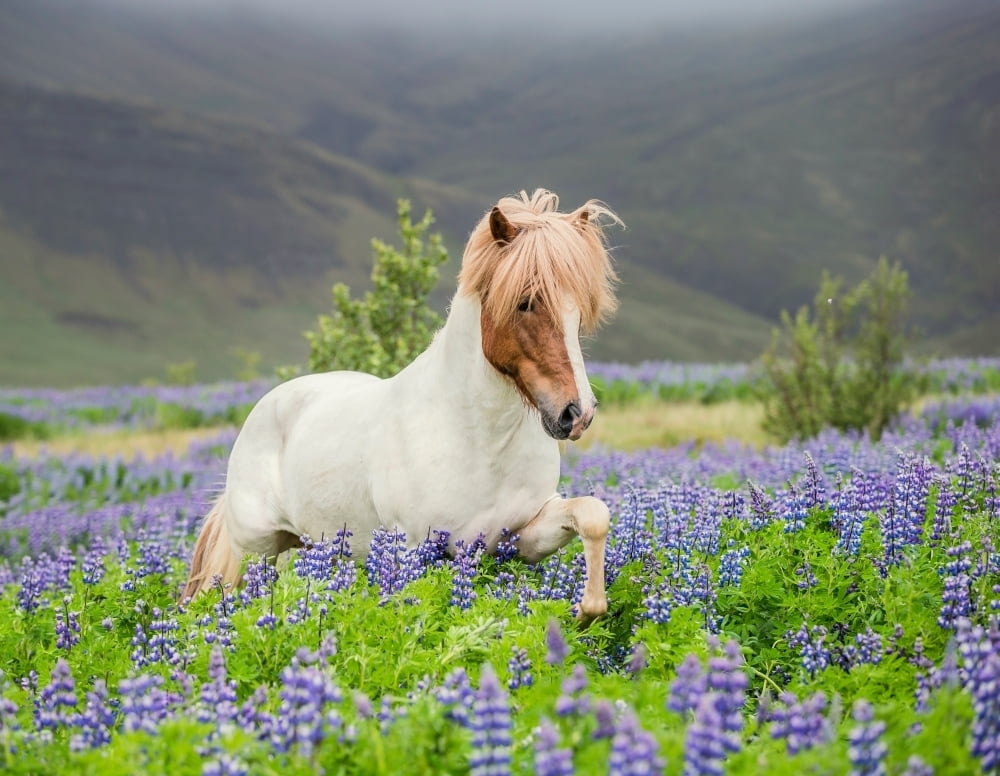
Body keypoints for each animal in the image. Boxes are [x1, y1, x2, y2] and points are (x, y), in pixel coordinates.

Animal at [182, 189, 622, 621]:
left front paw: (587, 611)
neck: (482, 441)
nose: (577, 413)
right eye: (525, 302)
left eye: (579, 310)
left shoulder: (522, 536)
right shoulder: (417, 548)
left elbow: (593, 516)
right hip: (256, 551)